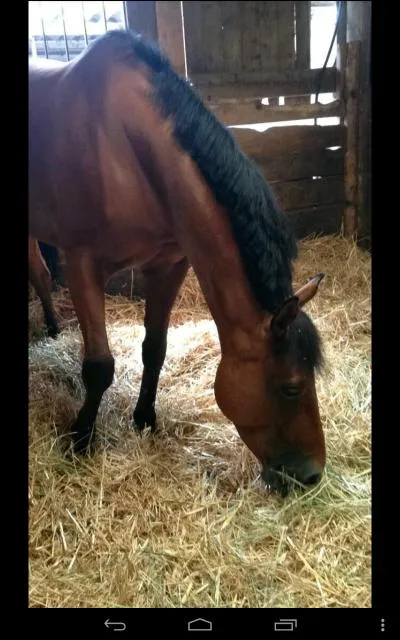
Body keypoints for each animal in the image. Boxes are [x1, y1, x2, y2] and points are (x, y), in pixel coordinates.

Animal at [29, 30, 326, 494]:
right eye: (291, 388)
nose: (312, 475)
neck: (122, 148)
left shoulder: (168, 265)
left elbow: (155, 349)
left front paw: (144, 418)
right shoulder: (82, 265)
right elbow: (99, 367)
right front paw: (80, 438)